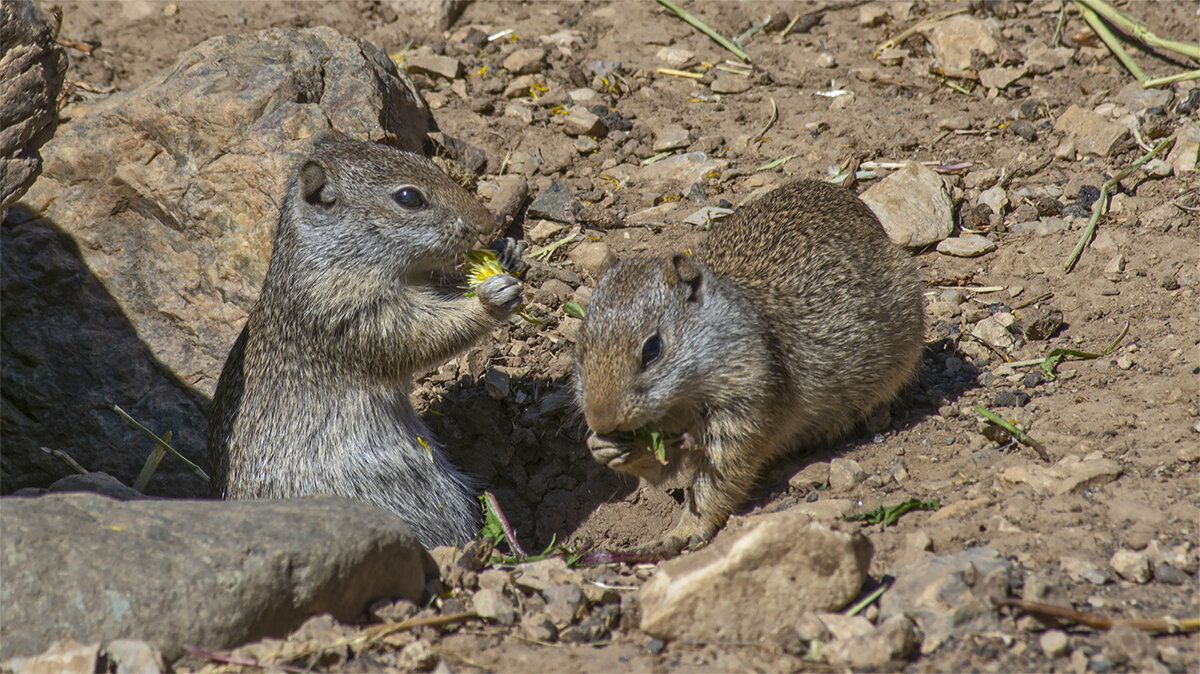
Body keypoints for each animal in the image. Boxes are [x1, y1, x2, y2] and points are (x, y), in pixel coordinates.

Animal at [205, 130, 520, 546]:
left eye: (430, 162)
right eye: (408, 197)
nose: (488, 223)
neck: (333, 261)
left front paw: (508, 252)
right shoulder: (356, 319)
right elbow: (426, 334)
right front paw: (491, 297)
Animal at [576, 177, 921, 546]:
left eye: (652, 349)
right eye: (580, 348)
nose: (600, 420)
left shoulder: (743, 409)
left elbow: (715, 483)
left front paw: (682, 533)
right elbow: (661, 468)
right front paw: (602, 447)